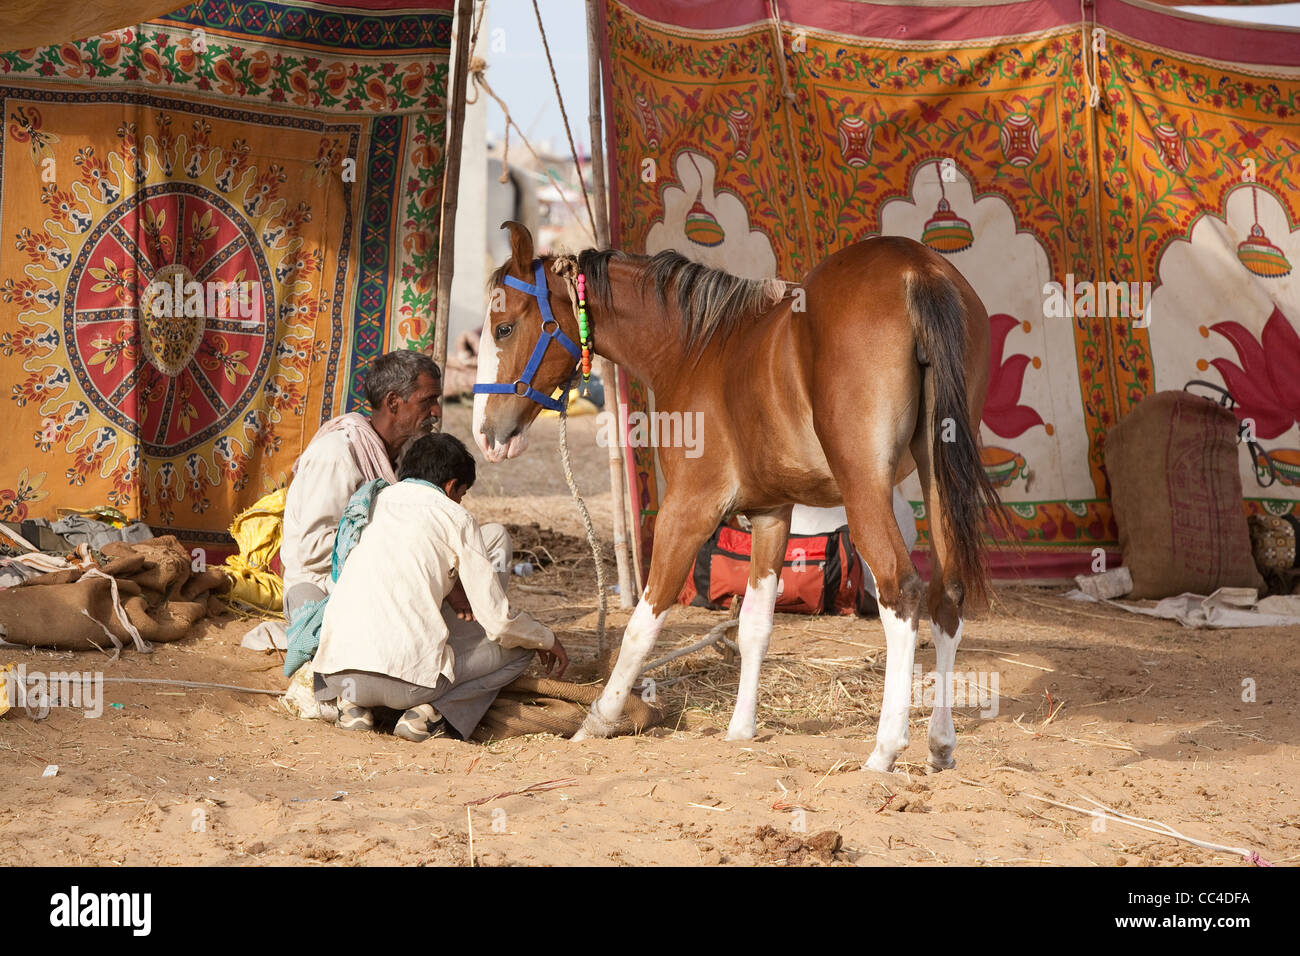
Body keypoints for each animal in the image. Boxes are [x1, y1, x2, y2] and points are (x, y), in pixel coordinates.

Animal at [473, 221, 1000, 773]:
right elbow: (755, 626)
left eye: (504, 327)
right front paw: (741, 729)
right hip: (937, 473)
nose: (487, 434)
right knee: (947, 596)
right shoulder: (771, 513)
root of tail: (916, 267)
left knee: (903, 591)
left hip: (865, 488)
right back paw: (940, 742)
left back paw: (884, 749)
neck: (694, 349)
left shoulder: (687, 508)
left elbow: (644, 622)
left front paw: (600, 718)